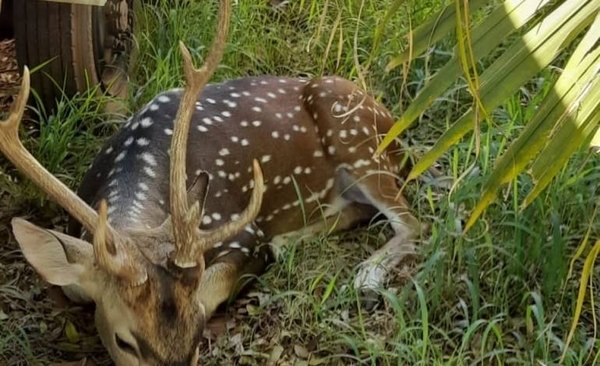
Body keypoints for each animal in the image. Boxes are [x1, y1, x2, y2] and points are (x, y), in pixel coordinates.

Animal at [1, 0, 422, 364]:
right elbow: (72, 286)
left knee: (413, 222)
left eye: (201, 328)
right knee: (361, 210)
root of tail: (395, 127)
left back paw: (364, 277)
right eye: (124, 341)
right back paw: (290, 241)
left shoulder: (243, 231)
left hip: (356, 138)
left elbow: (215, 282)